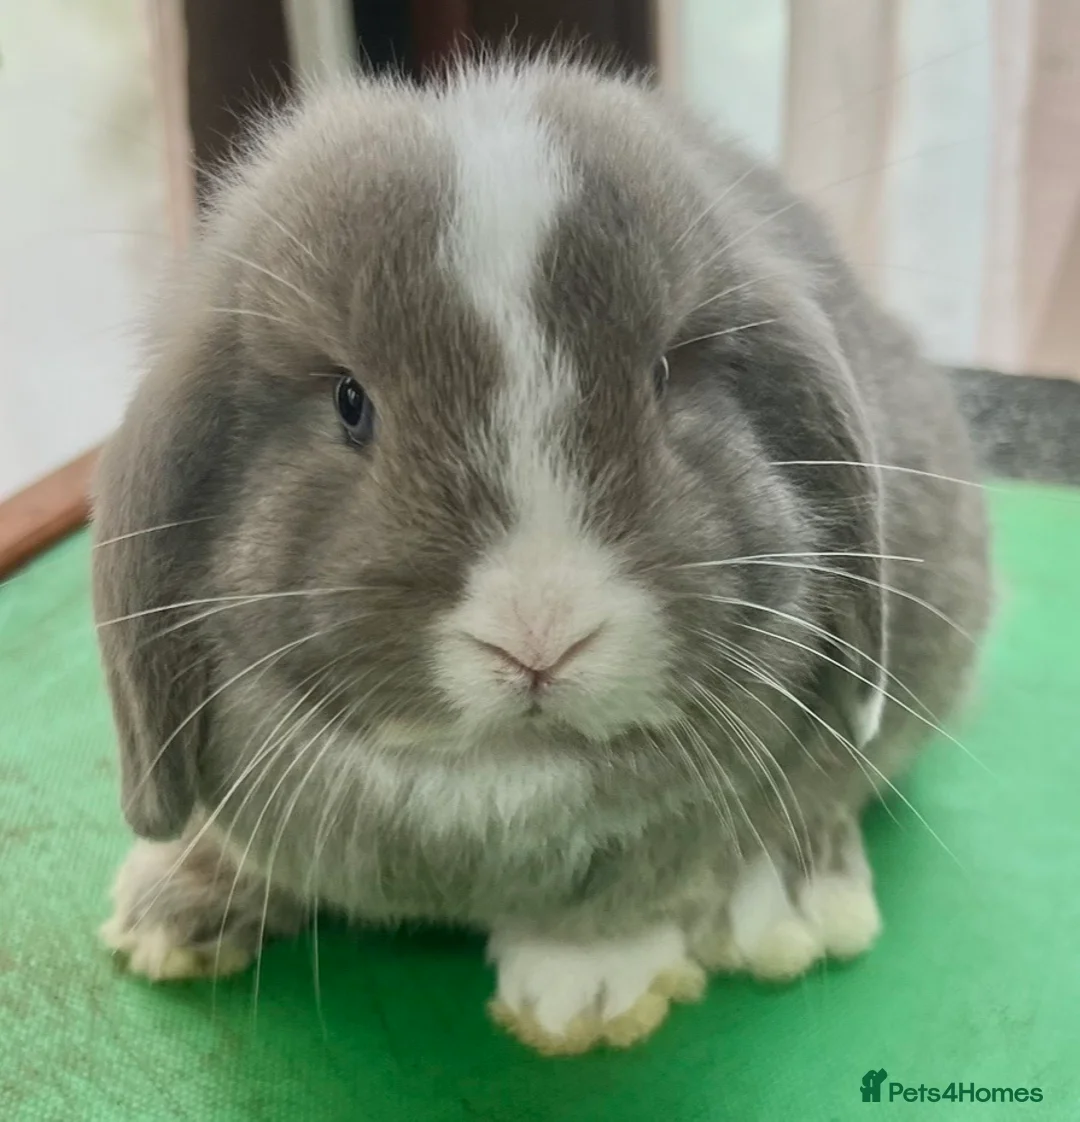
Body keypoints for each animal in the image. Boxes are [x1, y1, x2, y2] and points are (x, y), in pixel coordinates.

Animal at [93, 55, 991, 1055]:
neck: (496, 780)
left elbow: (630, 898)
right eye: (350, 402)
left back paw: (799, 902)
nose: (540, 638)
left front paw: (583, 997)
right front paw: (172, 906)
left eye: (664, 376)